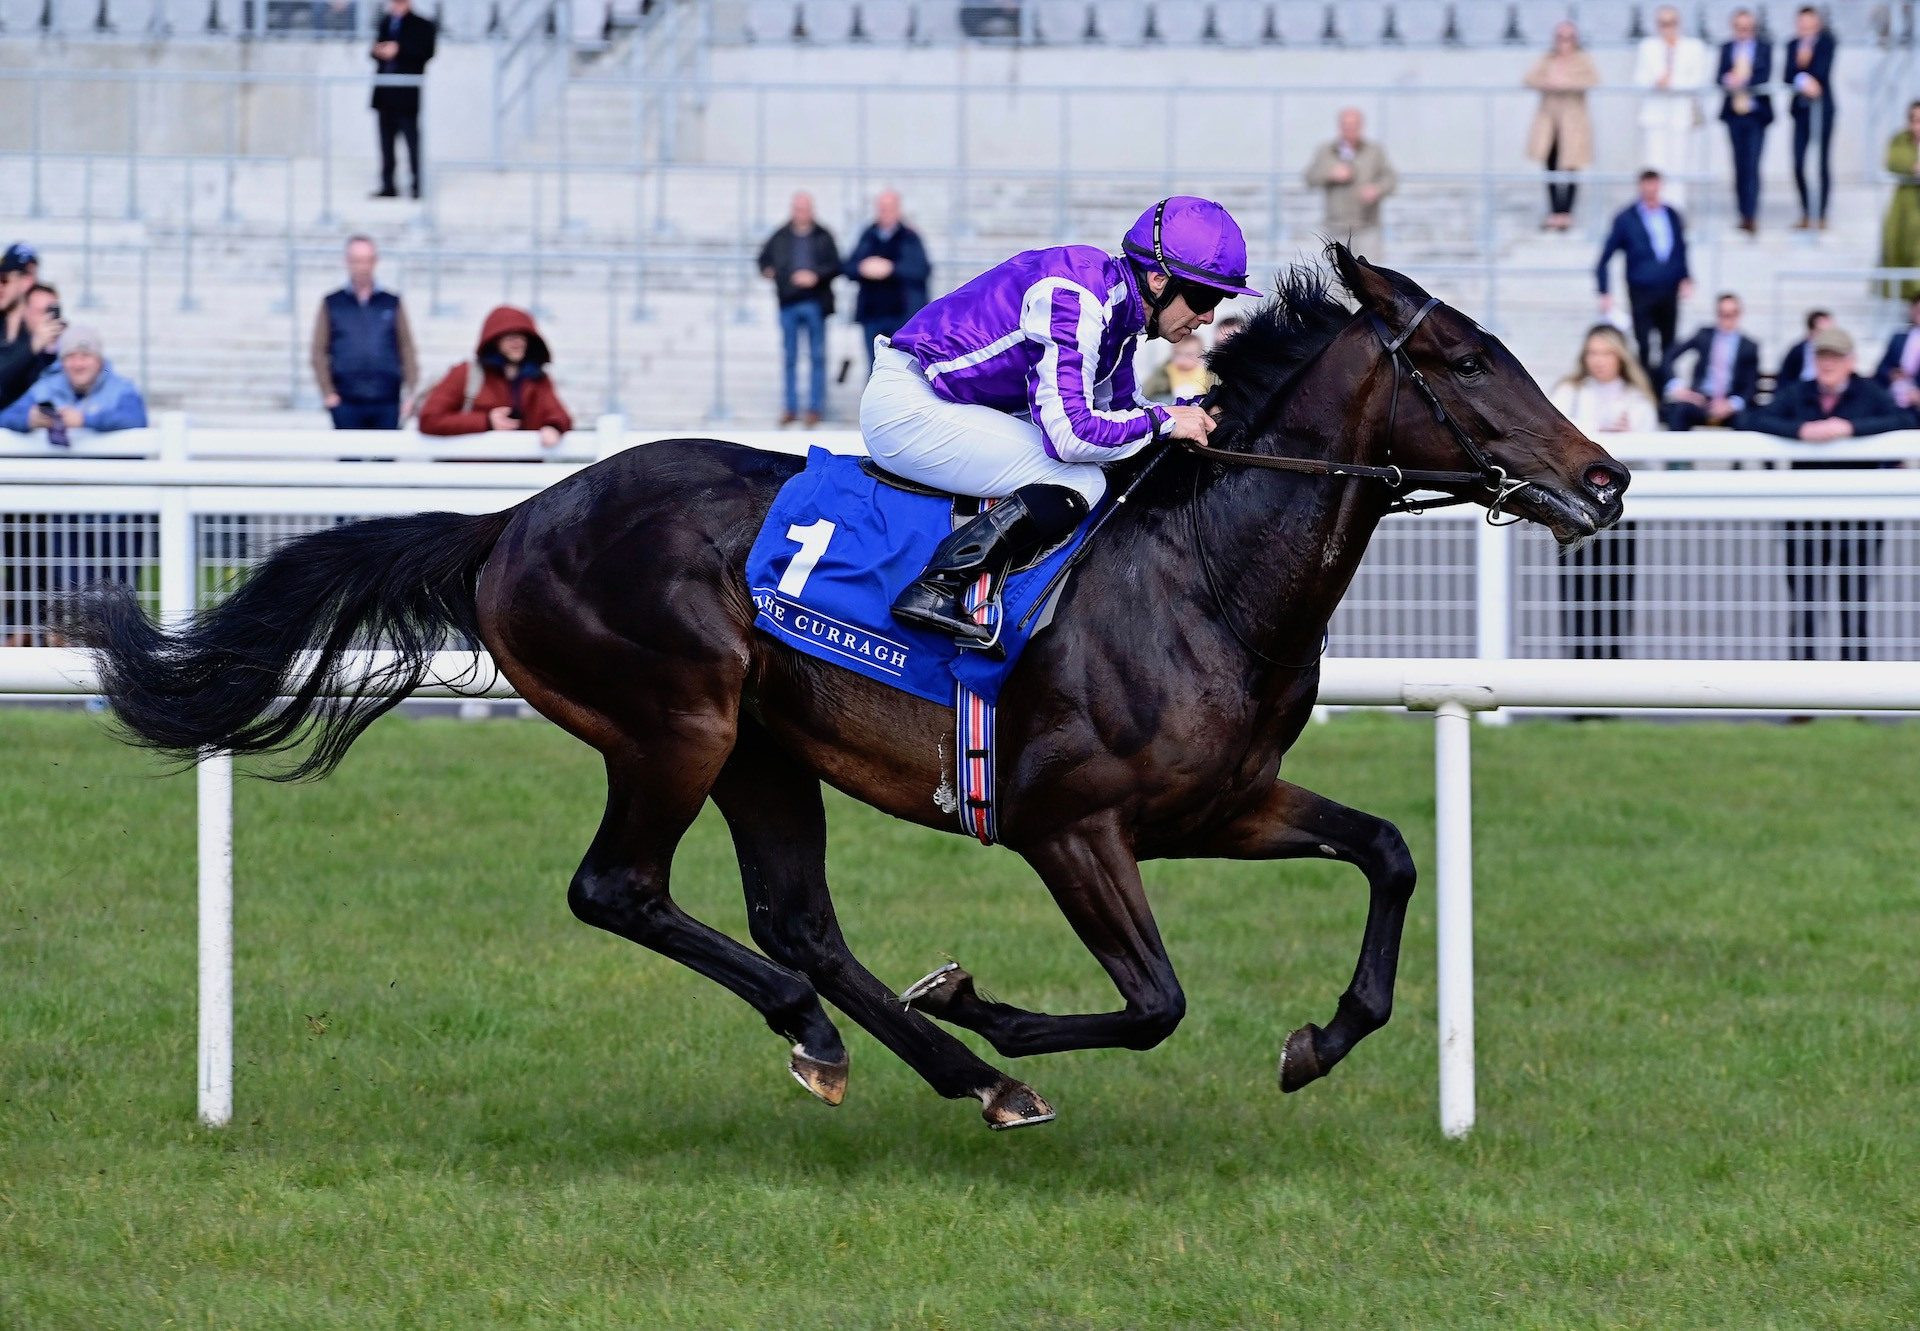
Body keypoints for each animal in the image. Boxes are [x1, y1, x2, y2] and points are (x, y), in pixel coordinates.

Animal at [78, 245, 1635, 1121]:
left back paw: (943, 1067)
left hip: (764, 747)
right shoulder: (1068, 825)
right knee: (622, 890)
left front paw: (1319, 1038)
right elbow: (1155, 999)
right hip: (676, 718)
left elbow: (1390, 851)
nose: (1608, 475)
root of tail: (512, 521)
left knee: (798, 918)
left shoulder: (1220, 802)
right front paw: (988, 1001)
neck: (1198, 574)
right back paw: (862, 1038)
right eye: (1462, 356)